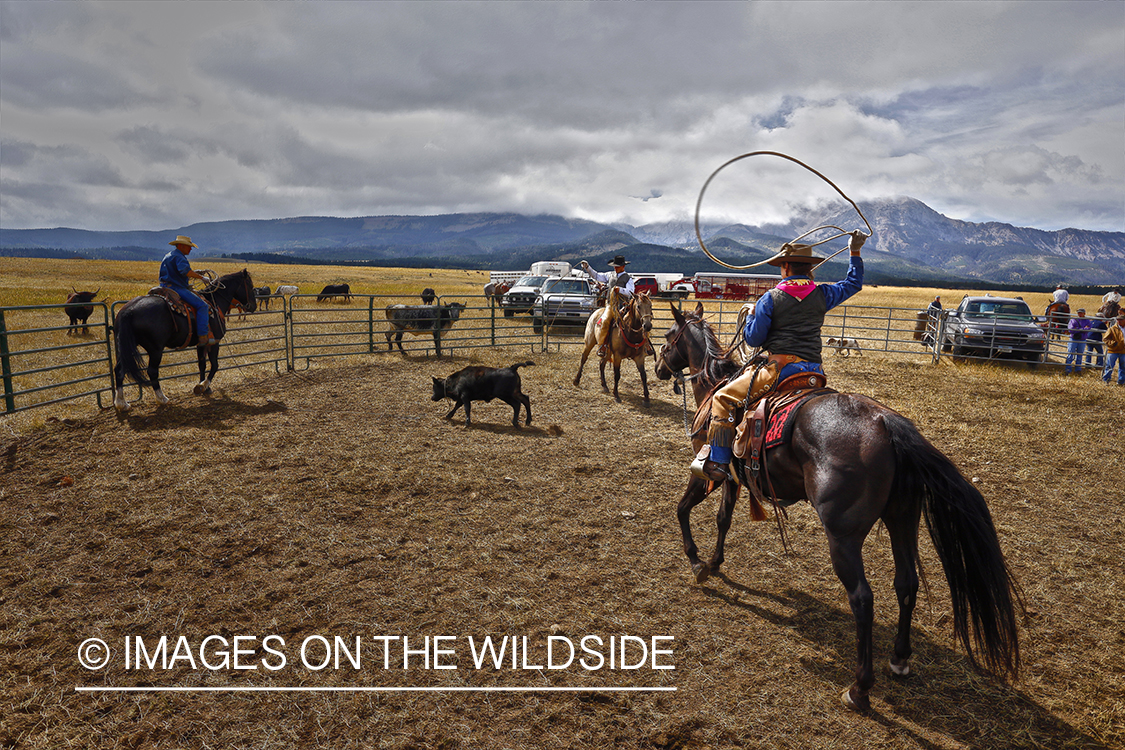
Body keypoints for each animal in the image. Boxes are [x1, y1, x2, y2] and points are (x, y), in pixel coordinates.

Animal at [111, 269, 257, 411]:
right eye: (250, 285)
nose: (253, 307)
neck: (214, 302)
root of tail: (129, 310)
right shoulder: (214, 342)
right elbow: (215, 365)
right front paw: (203, 386)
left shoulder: (202, 344)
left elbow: (202, 365)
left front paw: (204, 387)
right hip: (155, 349)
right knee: (152, 371)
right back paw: (162, 398)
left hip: (127, 346)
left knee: (119, 369)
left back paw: (121, 403)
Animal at [652, 301, 1021, 715]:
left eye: (668, 336)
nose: (658, 366)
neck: (716, 386)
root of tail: (888, 424)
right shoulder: (733, 477)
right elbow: (723, 519)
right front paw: (715, 562)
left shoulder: (707, 470)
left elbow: (683, 509)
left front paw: (697, 563)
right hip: (902, 519)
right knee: (906, 583)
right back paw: (899, 659)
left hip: (843, 536)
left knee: (862, 598)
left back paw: (860, 687)